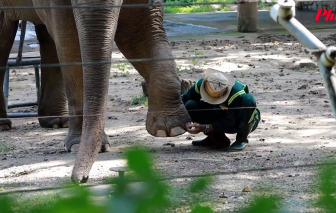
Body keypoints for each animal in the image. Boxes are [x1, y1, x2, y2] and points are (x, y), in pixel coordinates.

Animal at [0, 0, 189, 183]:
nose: (81, 179)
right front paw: (79, 144)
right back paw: (4, 125)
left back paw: (57, 122)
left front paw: (172, 129)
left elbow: (138, 28)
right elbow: (71, 42)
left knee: (46, 36)